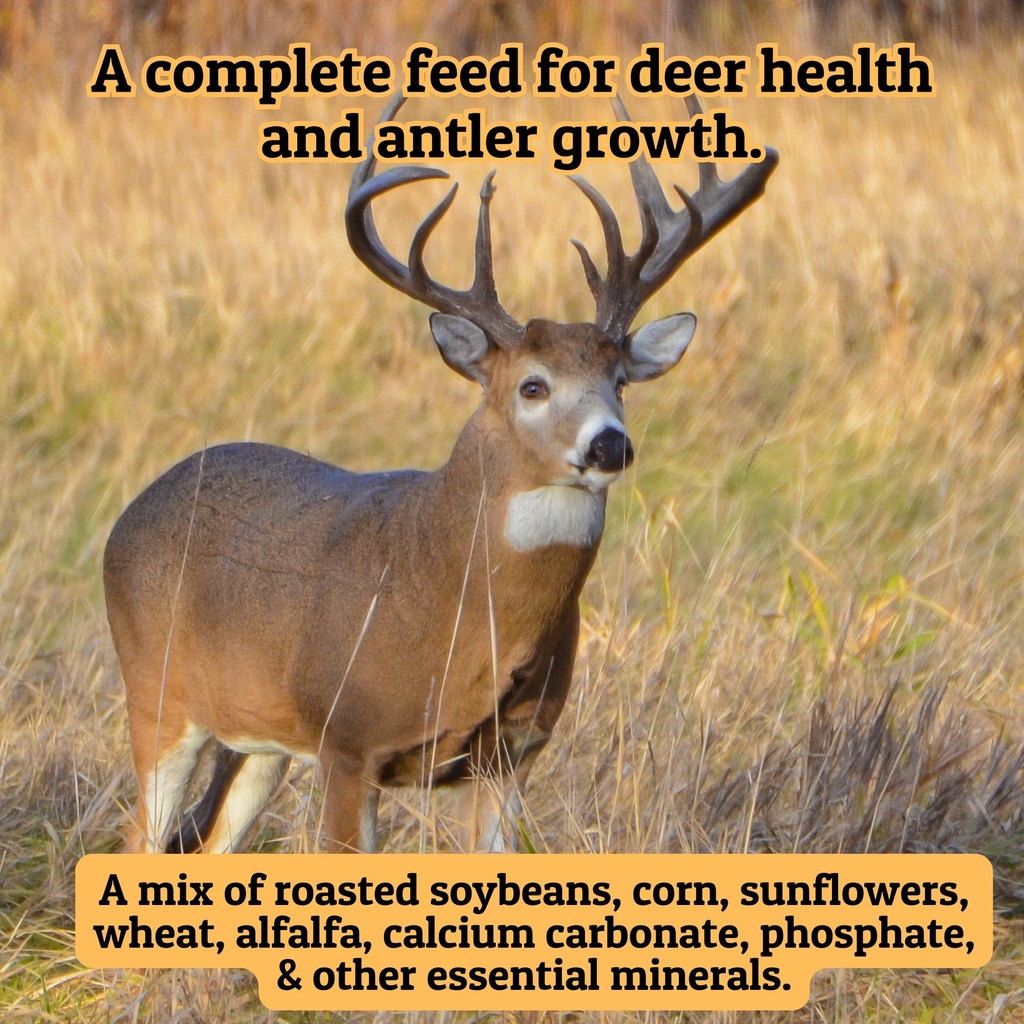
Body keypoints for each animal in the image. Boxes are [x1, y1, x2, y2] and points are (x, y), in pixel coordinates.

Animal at [104, 95, 777, 854]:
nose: (609, 445)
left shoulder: (510, 754)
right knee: (137, 838)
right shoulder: (348, 740)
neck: (455, 599)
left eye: (620, 383)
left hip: (256, 742)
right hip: (158, 694)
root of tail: (130, 514)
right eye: (533, 386)